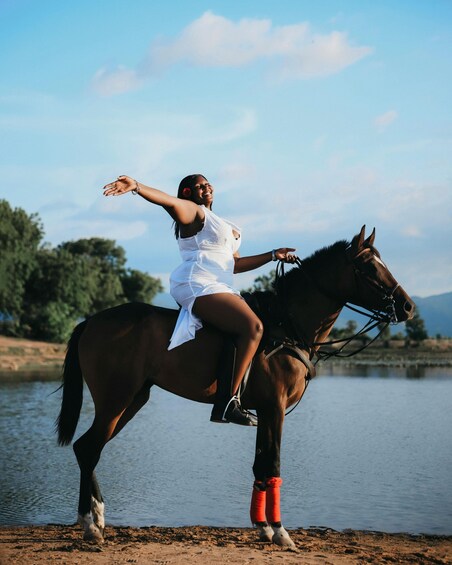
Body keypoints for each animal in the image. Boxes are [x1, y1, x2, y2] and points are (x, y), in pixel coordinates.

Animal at [56, 226, 415, 546]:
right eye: (369, 267)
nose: (407, 306)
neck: (286, 326)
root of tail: (91, 321)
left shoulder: (265, 412)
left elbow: (260, 465)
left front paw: (264, 528)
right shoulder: (275, 409)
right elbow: (273, 463)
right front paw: (280, 532)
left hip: (131, 400)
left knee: (88, 448)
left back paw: (97, 516)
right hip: (115, 399)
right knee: (89, 448)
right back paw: (90, 525)